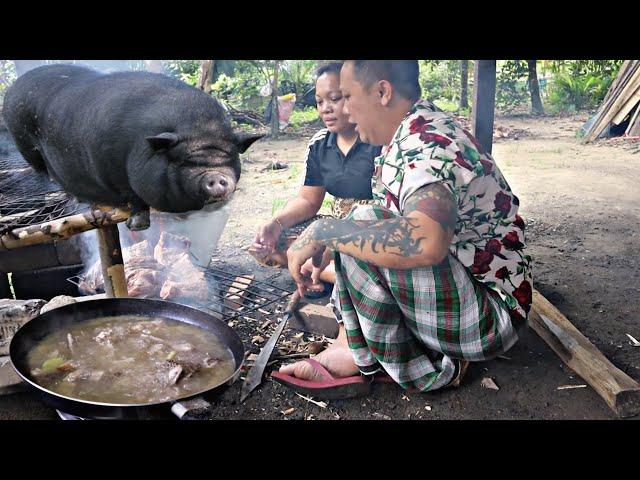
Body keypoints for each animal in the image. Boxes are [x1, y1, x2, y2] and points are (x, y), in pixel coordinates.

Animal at [1, 64, 262, 230]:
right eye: (182, 160)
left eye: (229, 157)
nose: (216, 177)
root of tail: (13, 87)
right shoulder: (113, 172)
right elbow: (134, 198)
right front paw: (136, 226)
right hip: (22, 139)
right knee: (41, 169)